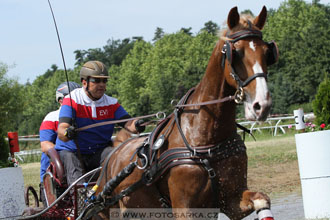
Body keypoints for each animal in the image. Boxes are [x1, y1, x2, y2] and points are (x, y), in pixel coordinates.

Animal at [94, 5, 278, 220]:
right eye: (237, 52)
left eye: (267, 52)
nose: (262, 104)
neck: (206, 141)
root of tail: (113, 155)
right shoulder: (185, 208)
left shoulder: (231, 200)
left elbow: (261, 198)